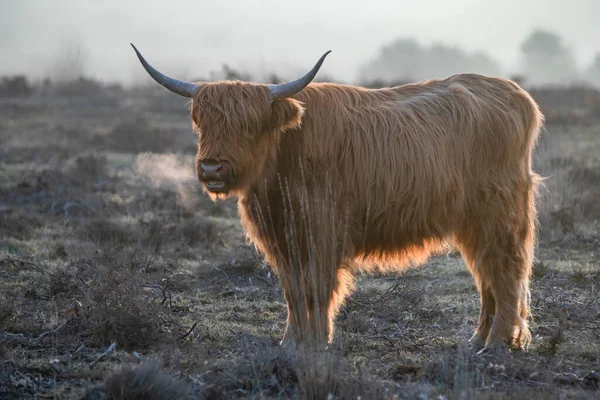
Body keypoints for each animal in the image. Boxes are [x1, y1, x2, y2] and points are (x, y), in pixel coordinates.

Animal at [132, 44, 544, 354]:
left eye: (248, 126)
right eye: (200, 122)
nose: (212, 168)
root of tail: (516, 93)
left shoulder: (321, 231)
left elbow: (316, 288)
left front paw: (316, 342)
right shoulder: (284, 239)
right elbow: (293, 290)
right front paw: (290, 343)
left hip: (499, 213)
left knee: (507, 270)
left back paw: (496, 344)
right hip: (474, 223)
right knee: (487, 274)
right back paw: (478, 341)